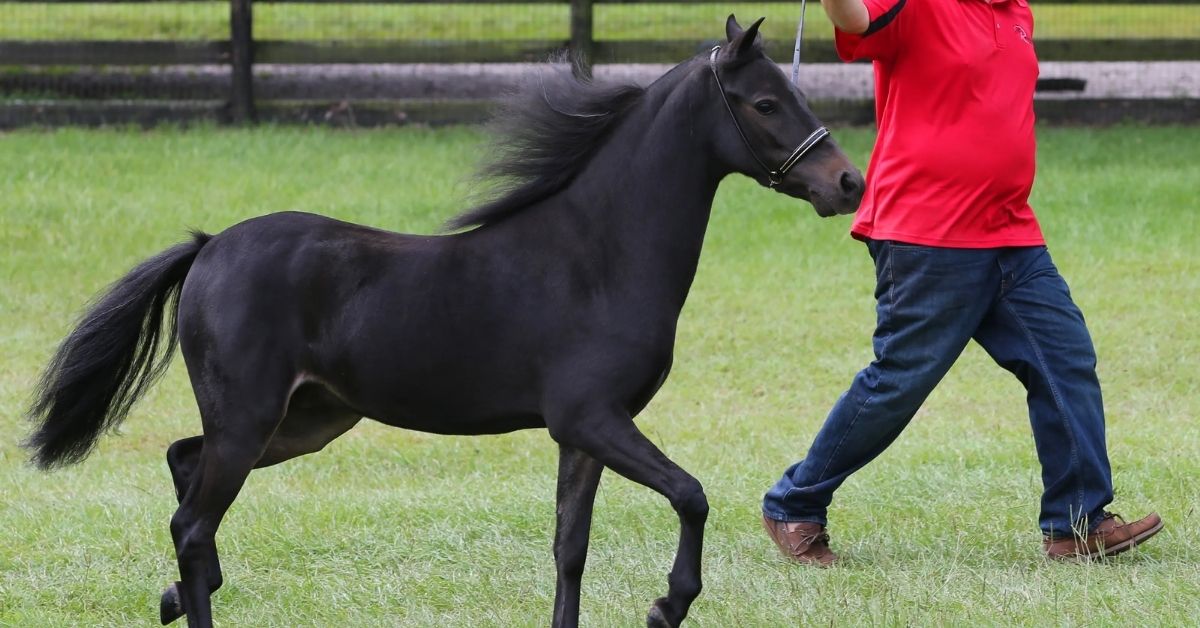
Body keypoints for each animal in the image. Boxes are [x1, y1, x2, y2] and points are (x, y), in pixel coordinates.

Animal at [25, 15, 864, 628]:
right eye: (765, 103)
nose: (847, 182)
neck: (598, 255)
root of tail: (209, 248)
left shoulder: (582, 434)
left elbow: (570, 547)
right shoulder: (593, 418)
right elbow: (691, 494)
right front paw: (667, 604)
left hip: (306, 420)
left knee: (182, 470)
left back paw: (173, 596)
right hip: (253, 418)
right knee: (193, 524)